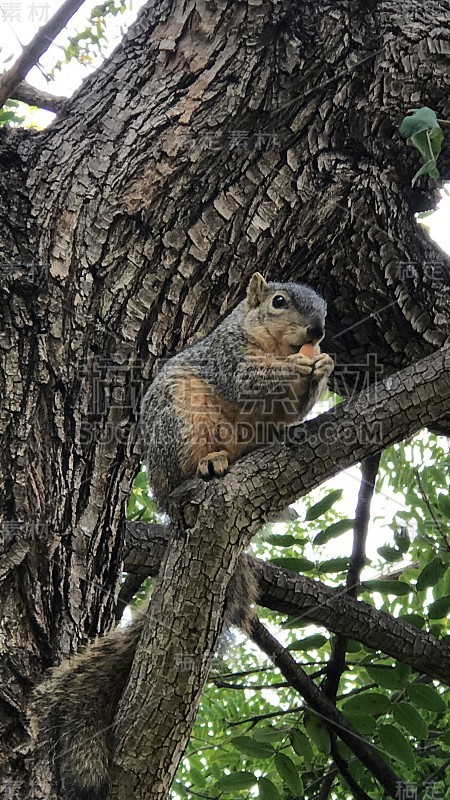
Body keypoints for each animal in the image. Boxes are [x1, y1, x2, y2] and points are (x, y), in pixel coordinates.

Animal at [32, 270, 334, 800]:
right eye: (279, 302)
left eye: (324, 307)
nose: (317, 332)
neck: (267, 341)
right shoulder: (228, 357)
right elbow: (248, 378)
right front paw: (307, 365)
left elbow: (292, 409)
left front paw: (324, 367)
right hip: (179, 422)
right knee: (188, 471)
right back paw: (211, 464)